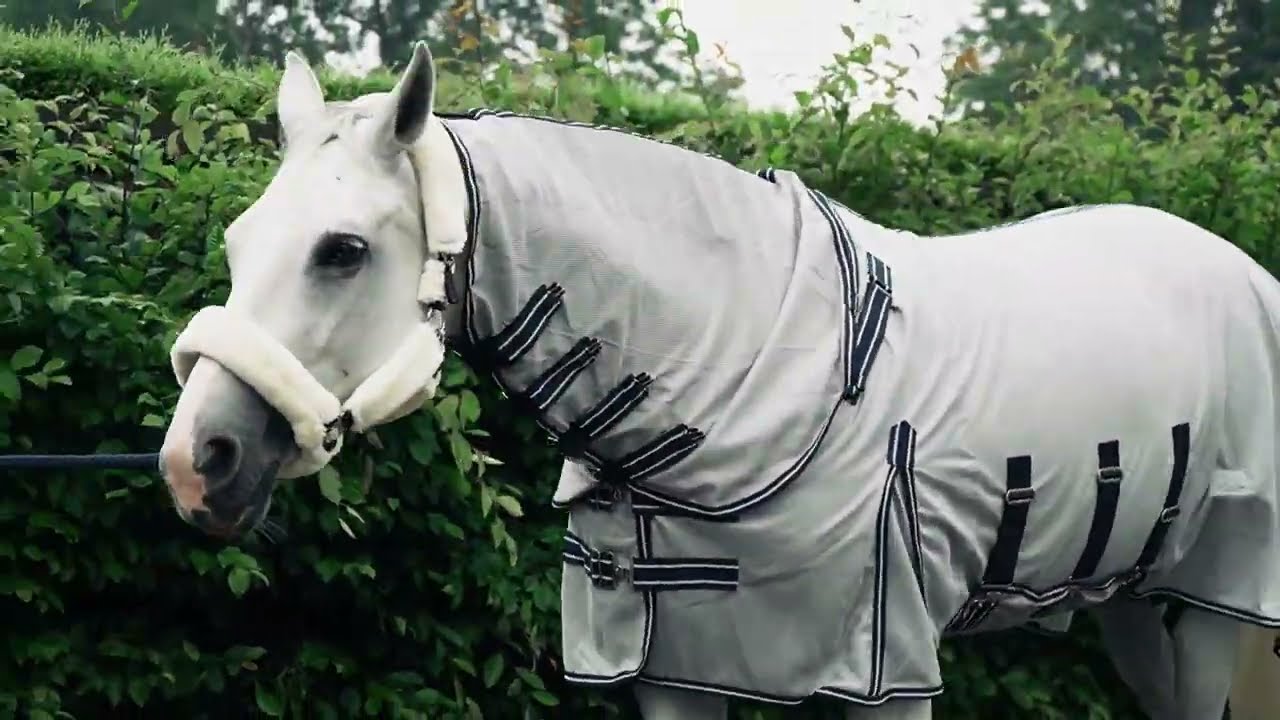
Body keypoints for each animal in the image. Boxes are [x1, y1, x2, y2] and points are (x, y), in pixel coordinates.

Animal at [157, 41, 1280, 719]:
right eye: (239, 240)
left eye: (342, 250)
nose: (194, 462)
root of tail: (1244, 269)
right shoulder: (677, 665)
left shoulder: (886, 670)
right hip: (1134, 600)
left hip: (1214, 599)